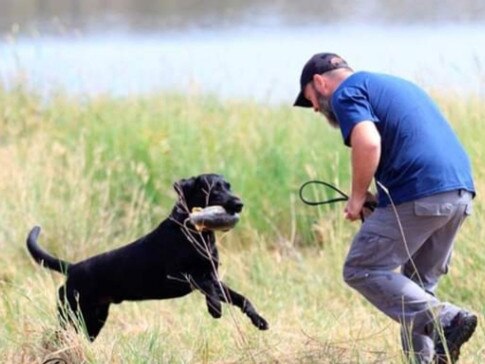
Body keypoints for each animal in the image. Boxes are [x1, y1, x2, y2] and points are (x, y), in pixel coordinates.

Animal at [26, 173, 268, 342]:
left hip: (92, 321)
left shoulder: (213, 278)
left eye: (228, 186)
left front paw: (259, 320)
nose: (239, 204)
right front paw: (214, 308)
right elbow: (207, 287)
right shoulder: (180, 276)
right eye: (213, 189)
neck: (195, 232)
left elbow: (241, 298)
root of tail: (73, 267)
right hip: (71, 315)